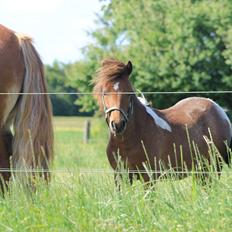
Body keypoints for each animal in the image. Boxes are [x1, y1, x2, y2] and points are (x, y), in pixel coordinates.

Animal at [93, 59, 231, 186]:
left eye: (129, 92)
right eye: (104, 92)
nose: (118, 124)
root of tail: (218, 108)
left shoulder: (149, 177)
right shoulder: (120, 176)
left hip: (215, 166)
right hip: (201, 170)